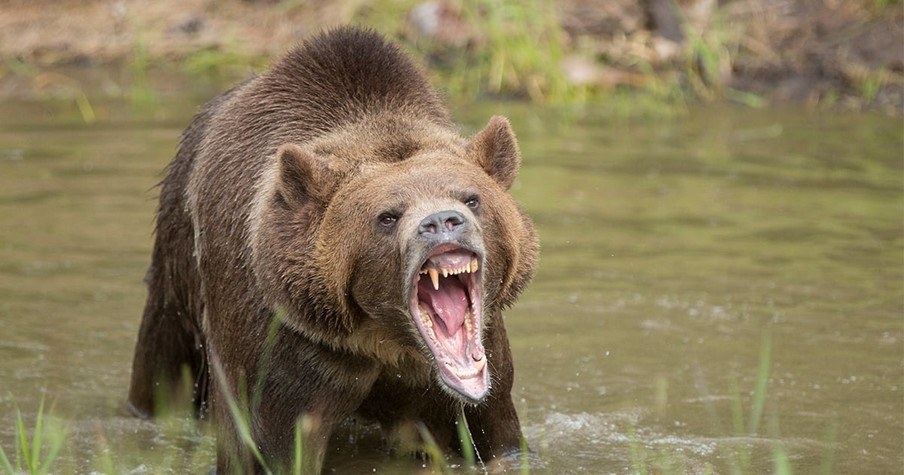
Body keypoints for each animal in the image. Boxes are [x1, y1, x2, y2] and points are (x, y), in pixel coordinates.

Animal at [126, 27, 536, 474]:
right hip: (179, 264)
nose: (442, 221)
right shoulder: (287, 347)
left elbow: (495, 433)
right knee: (164, 362)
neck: (384, 337)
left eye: (471, 198)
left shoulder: (477, 366)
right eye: (388, 216)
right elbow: (271, 443)